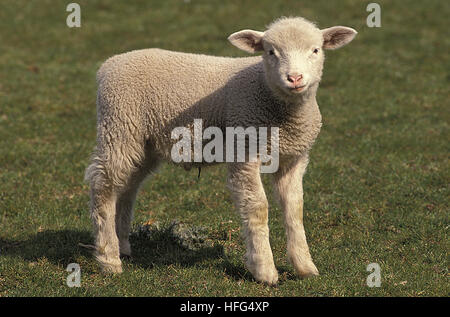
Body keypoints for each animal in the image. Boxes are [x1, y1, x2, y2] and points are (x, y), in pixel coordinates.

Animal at [86, 16, 356, 286]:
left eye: (315, 50)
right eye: (271, 52)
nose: (295, 78)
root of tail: (108, 65)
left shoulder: (293, 158)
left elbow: (295, 208)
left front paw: (304, 266)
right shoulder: (245, 151)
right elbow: (258, 208)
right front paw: (264, 270)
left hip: (143, 144)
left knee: (126, 188)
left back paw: (122, 245)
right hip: (119, 128)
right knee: (104, 187)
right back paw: (109, 258)